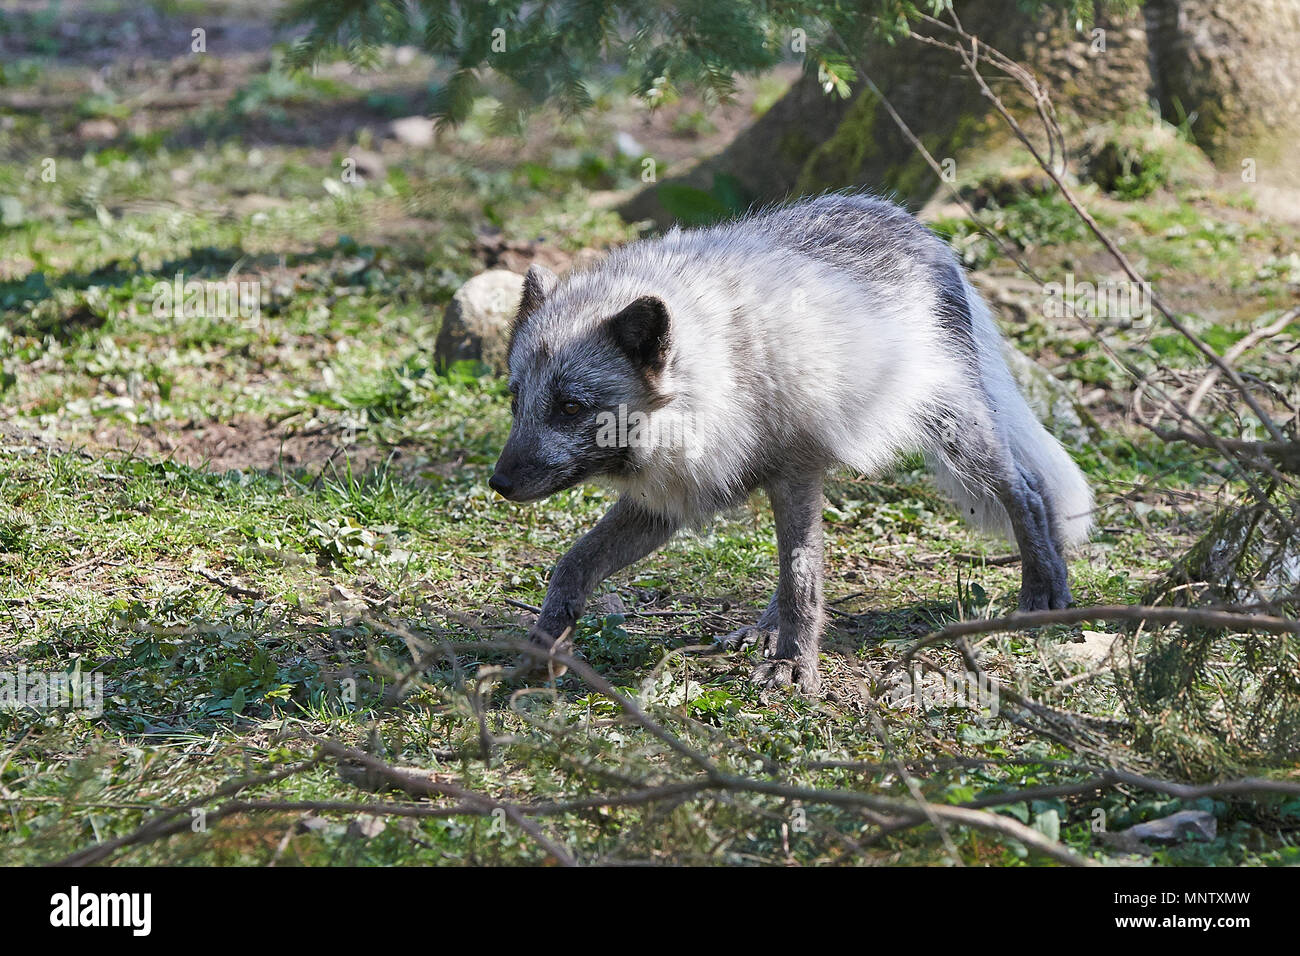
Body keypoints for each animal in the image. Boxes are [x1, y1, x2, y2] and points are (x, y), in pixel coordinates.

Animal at [490, 192, 1092, 694]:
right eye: (516, 400)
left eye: (571, 407)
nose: (499, 483)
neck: (726, 371)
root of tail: (914, 225)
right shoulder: (668, 501)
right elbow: (571, 566)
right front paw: (538, 653)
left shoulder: (796, 474)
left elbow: (803, 579)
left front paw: (794, 665)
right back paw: (763, 627)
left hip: (958, 437)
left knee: (1027, 492)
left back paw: (1044, 590)